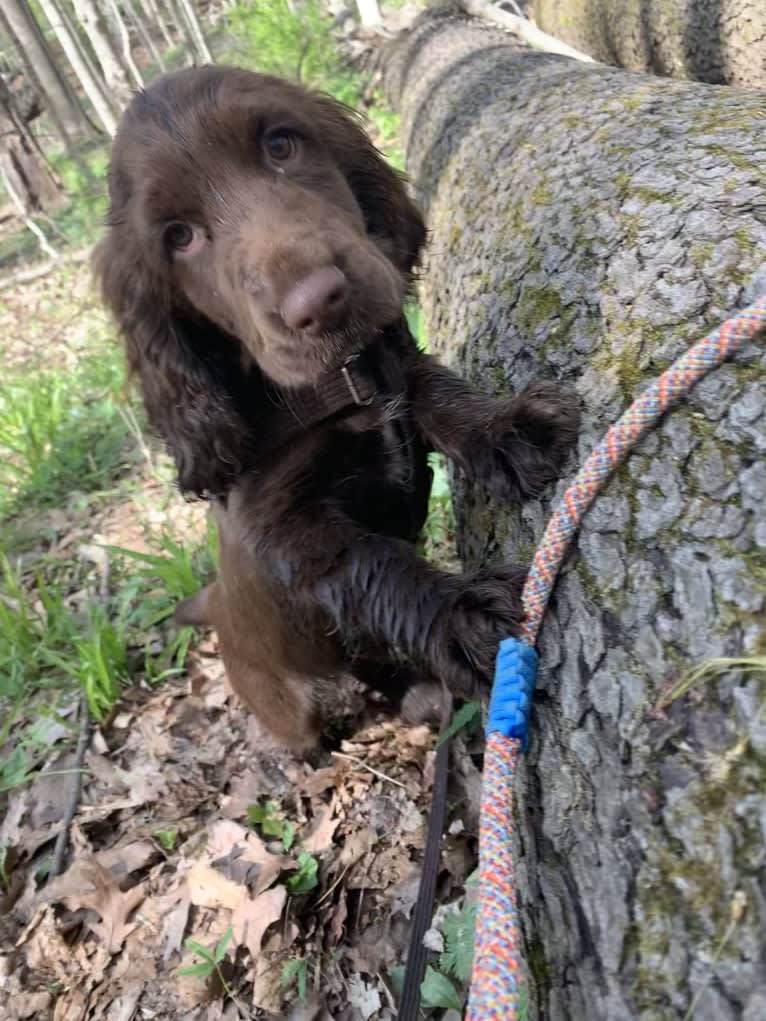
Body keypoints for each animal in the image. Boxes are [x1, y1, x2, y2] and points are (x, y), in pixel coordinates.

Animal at [94, 65, 576, 751]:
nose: (319, 301)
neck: (338, 381)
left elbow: (439, 394)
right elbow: (371, 563)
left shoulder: (393, 368)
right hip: (285, 702)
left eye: (280, 144)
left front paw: (512, 430)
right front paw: (467, 616)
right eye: (178, 237)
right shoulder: (286, 533)